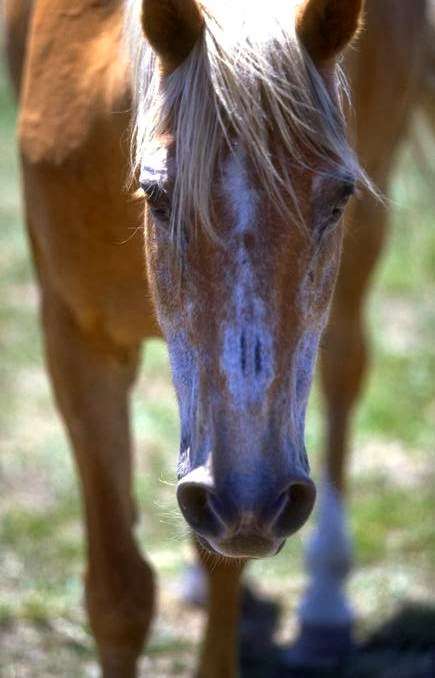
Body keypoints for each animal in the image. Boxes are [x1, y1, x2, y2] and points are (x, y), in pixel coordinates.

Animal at [2, 0, 432, 676]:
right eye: (156, 194)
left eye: (338, 199)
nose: (251, 493)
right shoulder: (76, 344)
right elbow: (119, 593)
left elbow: (224, 569)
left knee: (345, 368)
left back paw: (325, 607)